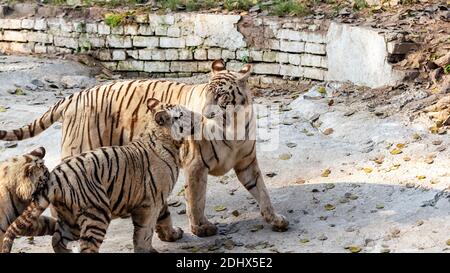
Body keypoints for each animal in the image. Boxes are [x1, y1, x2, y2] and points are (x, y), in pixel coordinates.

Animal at [0, 59, 288, 236]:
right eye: (207, 94)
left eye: (221, 95)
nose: (204, 115)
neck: (234, 124)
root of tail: (77, 94)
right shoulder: (196, 165)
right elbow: (197, 199)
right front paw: (201, 228)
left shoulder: (247, 163)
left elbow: (262, 192)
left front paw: (275, 219)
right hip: (80, 151)